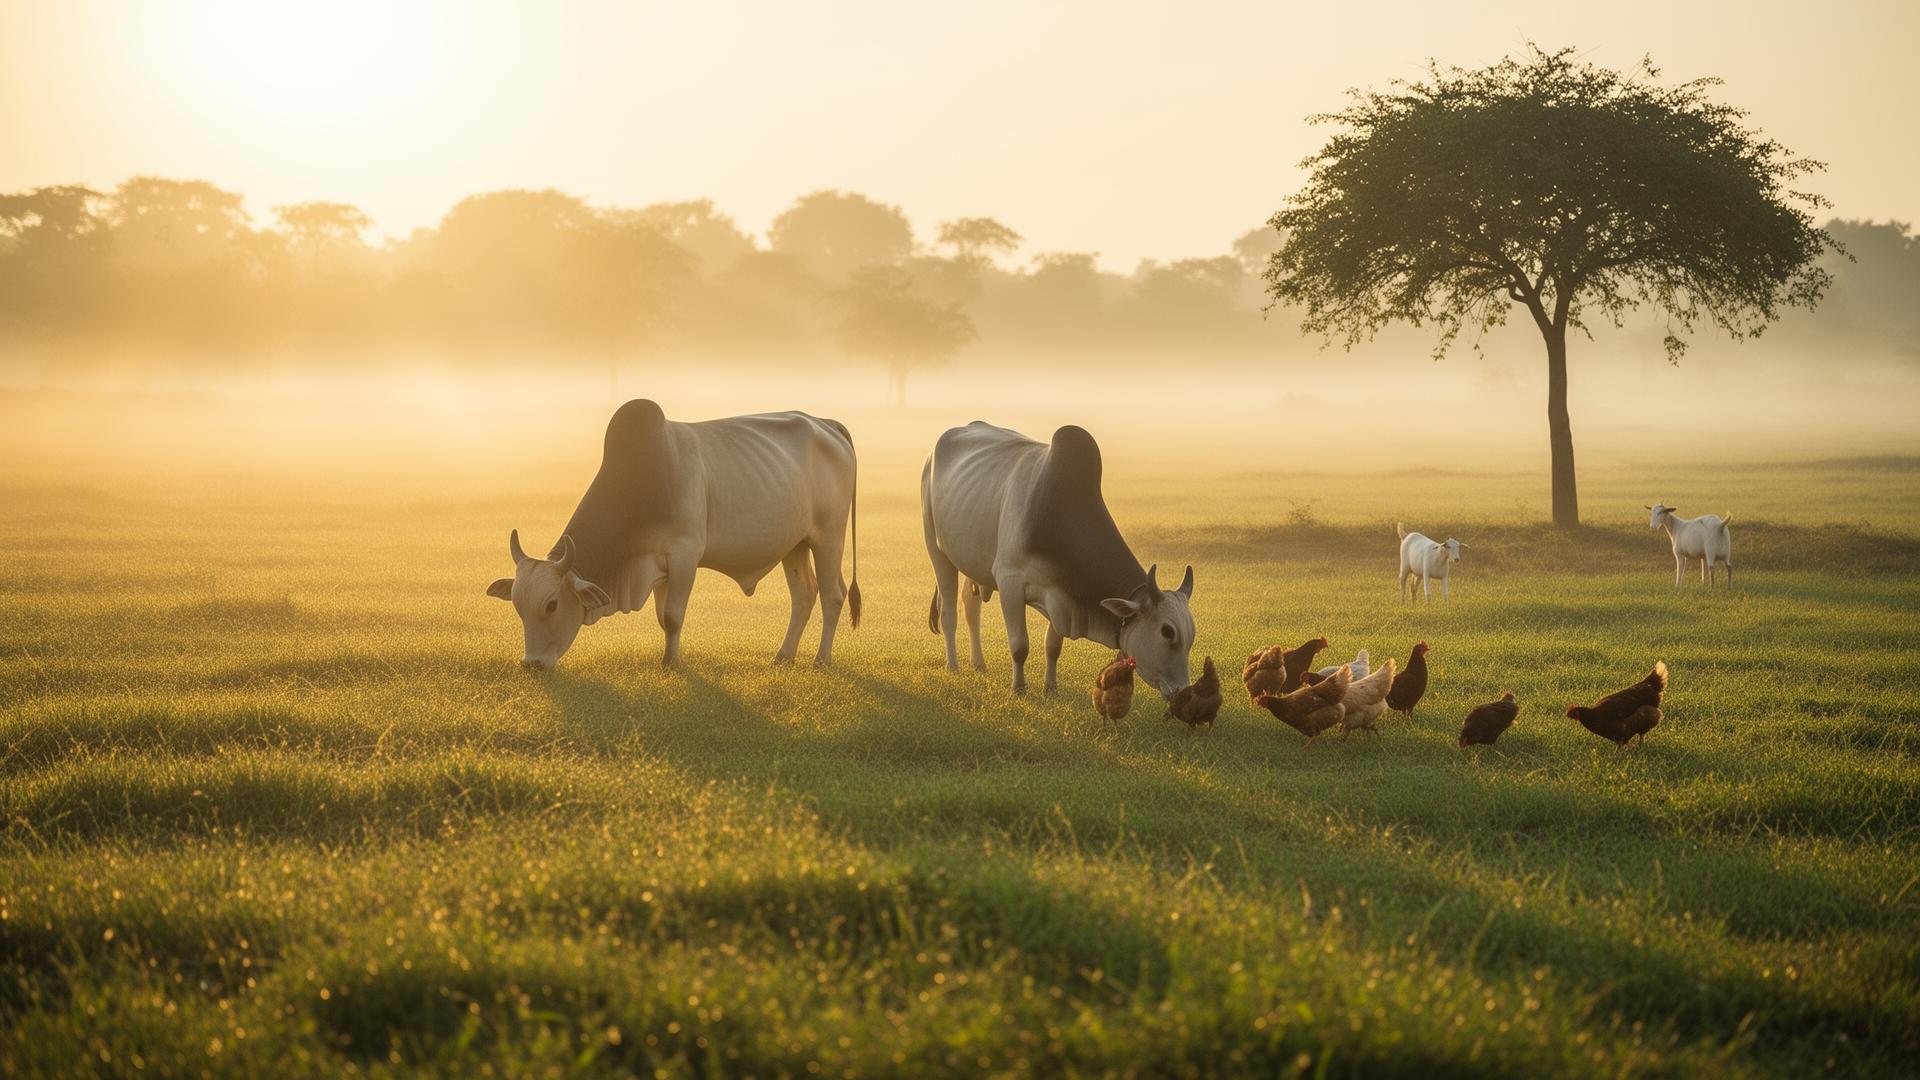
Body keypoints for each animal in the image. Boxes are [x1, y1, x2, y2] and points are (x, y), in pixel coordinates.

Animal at [487, 399, 860, 670]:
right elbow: (662, 618)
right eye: (517, 605)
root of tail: (827, 423)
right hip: (795, 545)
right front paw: (667, 658)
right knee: (804, 595)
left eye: (551, 605)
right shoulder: (657, 567)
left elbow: (673, 616)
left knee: (832, 596)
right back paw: (783, 657)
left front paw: (671, 663)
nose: (531, 664)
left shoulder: (684, 557)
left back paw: (821, 660)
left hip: (829, 538)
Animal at [921, 421, 1197, 697]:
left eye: (1191, 634)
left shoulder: (1063, 590)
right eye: (1167, 632)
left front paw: (1050, 688)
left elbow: (1053, 646)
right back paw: (953, 665)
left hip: (973, 562)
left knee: (971, 605)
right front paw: (1019, 688)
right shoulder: (1010, 582)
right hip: (937, 551)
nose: (1184, 691)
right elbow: (1019, 646)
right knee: (948, 612)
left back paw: (978, 663)